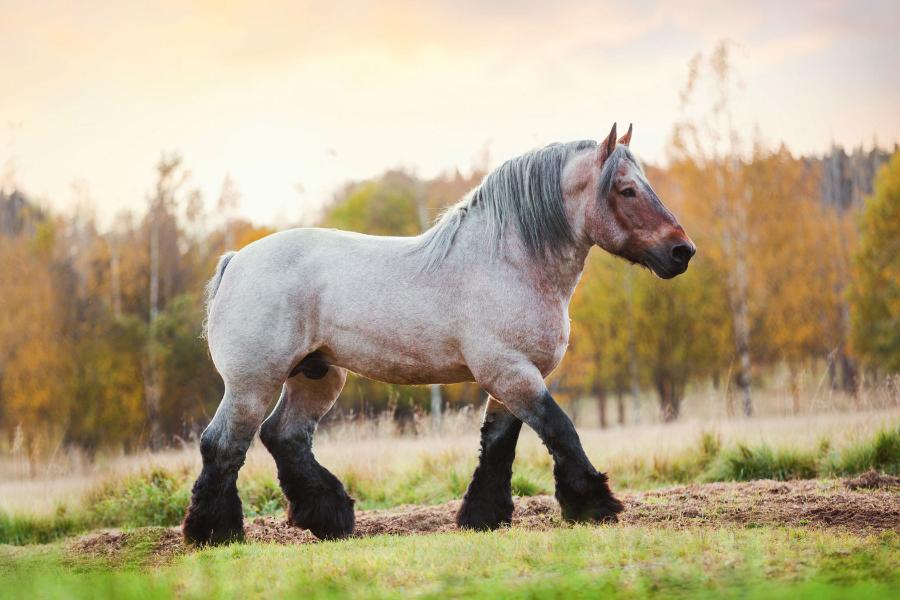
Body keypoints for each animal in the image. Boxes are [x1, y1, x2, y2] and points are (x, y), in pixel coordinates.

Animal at [183, 122, 696, 544]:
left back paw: (329, 517)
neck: (509, 261)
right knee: (223, 443)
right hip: (253, 384)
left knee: (283, 436)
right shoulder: (511, 372)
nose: (682, 251)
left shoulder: (509, 378)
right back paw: (215, 533)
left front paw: (482, 517)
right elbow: (560, 429)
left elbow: (498, 444)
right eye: (627, 190)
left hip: (317, 375)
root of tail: (236, 261)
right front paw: (594, 504)